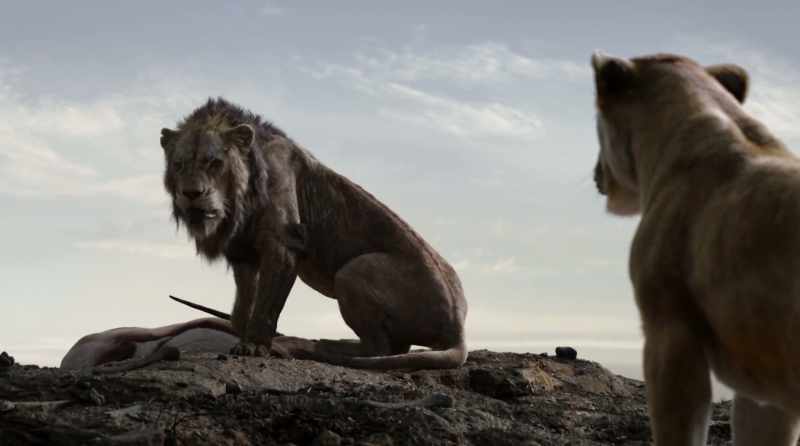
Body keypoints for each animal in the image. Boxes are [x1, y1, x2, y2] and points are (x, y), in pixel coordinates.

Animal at [159, 98, 468, 369]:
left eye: (214, 163)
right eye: (179, 165)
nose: (191, 194)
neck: (240, 199)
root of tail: (458, 329)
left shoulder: (284, 242)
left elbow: (266, 304)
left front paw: (256, 345)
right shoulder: (243, 251)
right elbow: (243, 304)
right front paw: (244, 335)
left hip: (353, 270)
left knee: (378, 348)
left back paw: (314, 345)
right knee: (395, 347)